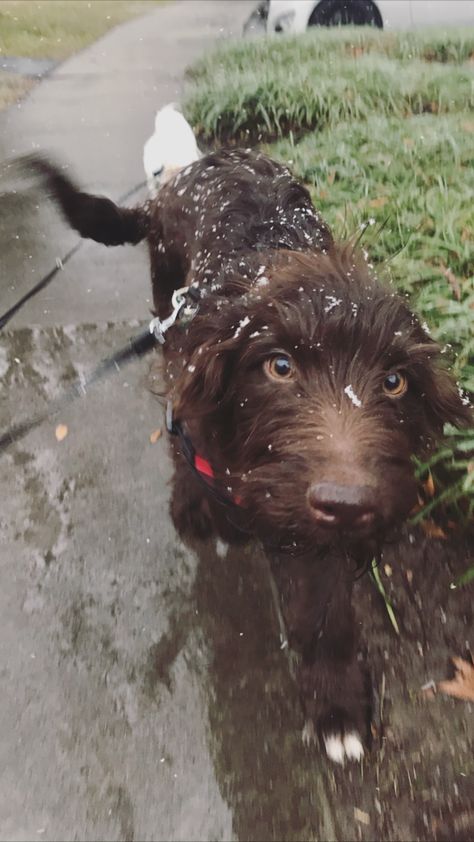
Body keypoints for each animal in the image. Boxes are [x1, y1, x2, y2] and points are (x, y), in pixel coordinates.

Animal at [28, 149, 470, 760]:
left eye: (395, 382)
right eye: (279, 365)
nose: (349, 505)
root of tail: (192, 170)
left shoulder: (317, 524)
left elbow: (326, 612)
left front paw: (337, 708)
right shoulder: (197, 387)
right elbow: (186, 440)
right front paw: (196, 508)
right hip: (166, 301)